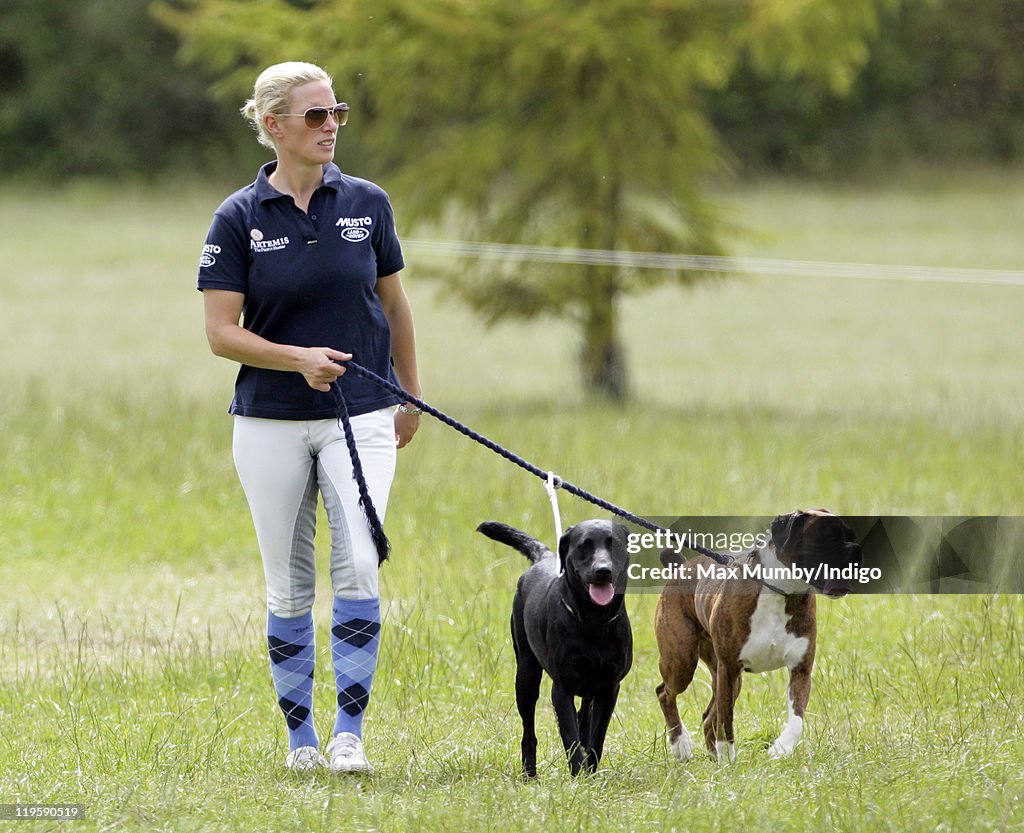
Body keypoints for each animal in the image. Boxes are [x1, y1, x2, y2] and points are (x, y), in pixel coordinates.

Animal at [479, 516, 630, 778]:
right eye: (584, 545)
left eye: (615, 544)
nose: (603, 571)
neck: (594, 622)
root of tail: (544, 557)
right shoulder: (562, 689)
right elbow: (570, 738)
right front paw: (579, 777)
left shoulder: (609, 688)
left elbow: (596, 739)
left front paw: (591, 774)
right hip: (526, 676)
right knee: (529, 732)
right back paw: (529, 773)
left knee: (584, 719)